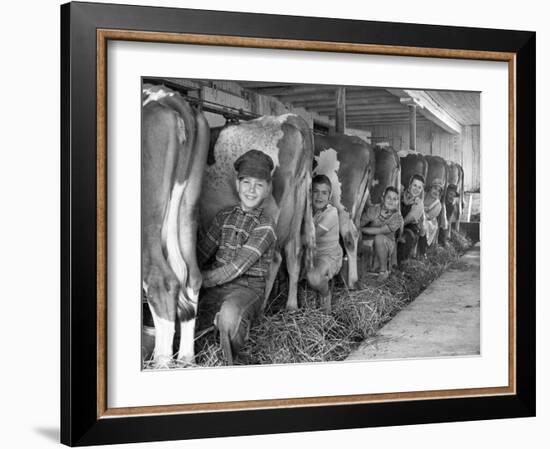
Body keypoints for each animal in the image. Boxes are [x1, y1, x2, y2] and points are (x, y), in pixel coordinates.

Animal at [202, 114, 314, 312]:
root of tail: (286, 119)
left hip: (272, 212)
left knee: (274, 259)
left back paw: (262, 309)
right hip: (297, 206)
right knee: (294, 252)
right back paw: (291, 306)